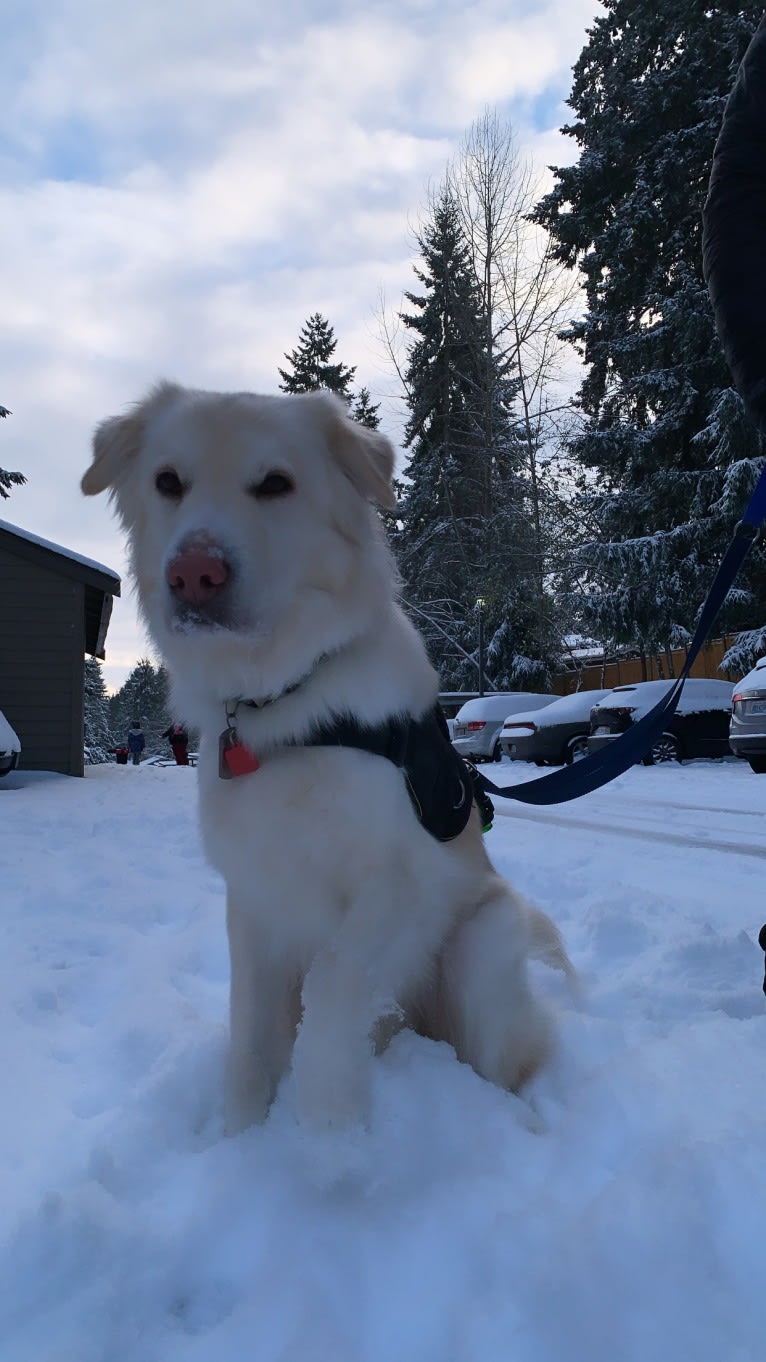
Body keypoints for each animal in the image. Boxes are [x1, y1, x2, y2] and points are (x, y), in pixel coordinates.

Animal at [80, 378, 567, 1133]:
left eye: (275, 484)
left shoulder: (406, 881)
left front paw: (329, 1118)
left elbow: (334, 980)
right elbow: (251, 1031)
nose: (193, 574)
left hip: (482, 946)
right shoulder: (253, 899)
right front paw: (241, 1133)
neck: (287, 704)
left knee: (508, 1067)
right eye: (168, 482)